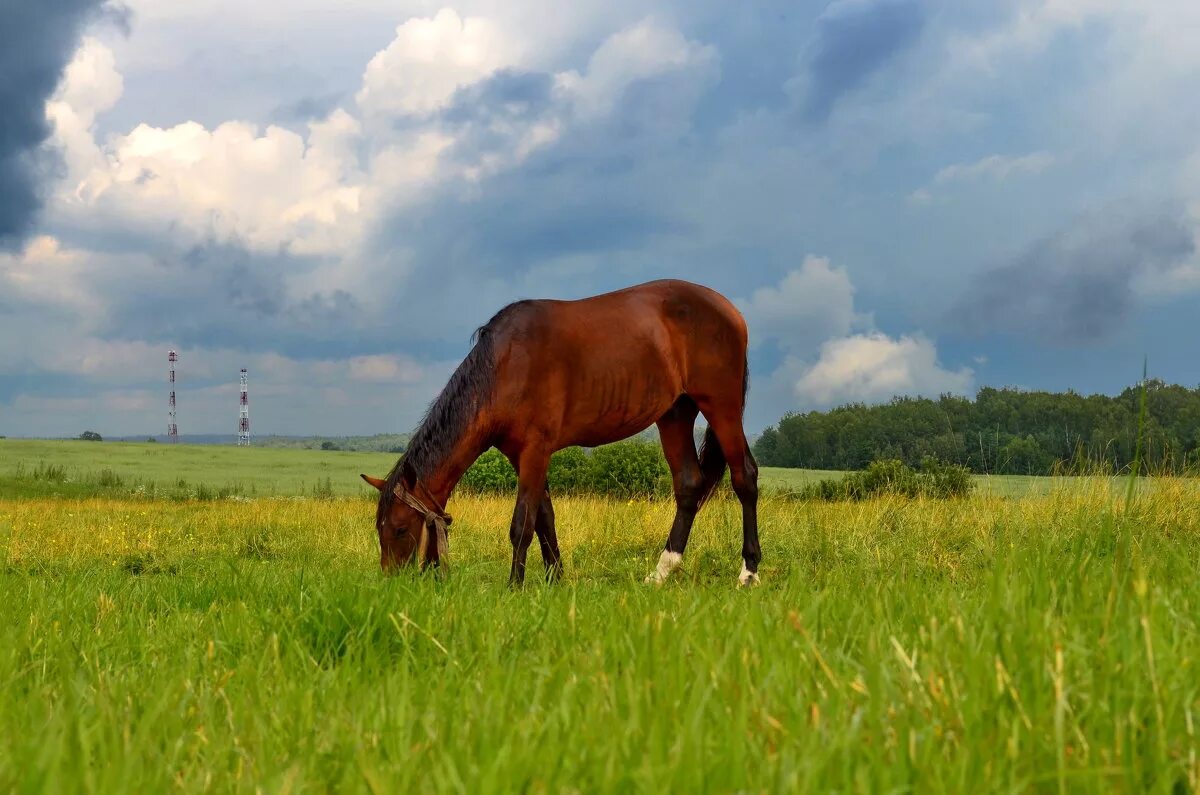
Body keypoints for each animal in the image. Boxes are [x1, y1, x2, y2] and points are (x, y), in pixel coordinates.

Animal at [360, 278, 763, 586]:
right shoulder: (520, 455)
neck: (504, 366)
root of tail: (731, 311)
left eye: (400, 529)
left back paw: (748, 572)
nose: (392, 582)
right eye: (379, 529)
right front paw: (555, 578)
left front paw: (515, 586)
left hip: (721, 406)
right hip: (675, 413)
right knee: (689, 485)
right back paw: (662, 571)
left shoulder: (535, 451)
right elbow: (544, 518)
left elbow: (522, 523)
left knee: (745, 477)